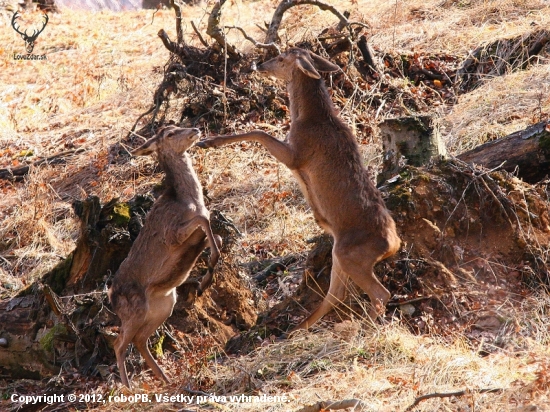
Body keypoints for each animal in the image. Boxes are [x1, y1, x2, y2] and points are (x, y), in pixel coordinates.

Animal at [108, 124, 222, 386]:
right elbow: (204, 220)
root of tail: (110, 297)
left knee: (139, 340)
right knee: (119, 343)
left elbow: (216, 235)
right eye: (169, 134)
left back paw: (165, 378)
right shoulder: (172, 235)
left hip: (164, 305)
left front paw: (205, 280)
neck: (189, 201)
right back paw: (129, 387)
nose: (195, 128)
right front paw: (207, 272)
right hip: (135, 309)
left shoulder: (194, 237)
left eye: (174, 125)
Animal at [198, 47, 402, 332]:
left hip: (352, 255)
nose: (260, 65)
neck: (307, 118)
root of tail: (394, 244)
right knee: (336, 294)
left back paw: (362, 327)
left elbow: (259, 132)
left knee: (379, 293)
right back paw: (298, 329)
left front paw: (208, 141)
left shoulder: (296, 154)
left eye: (282, 58)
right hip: (340, 253)